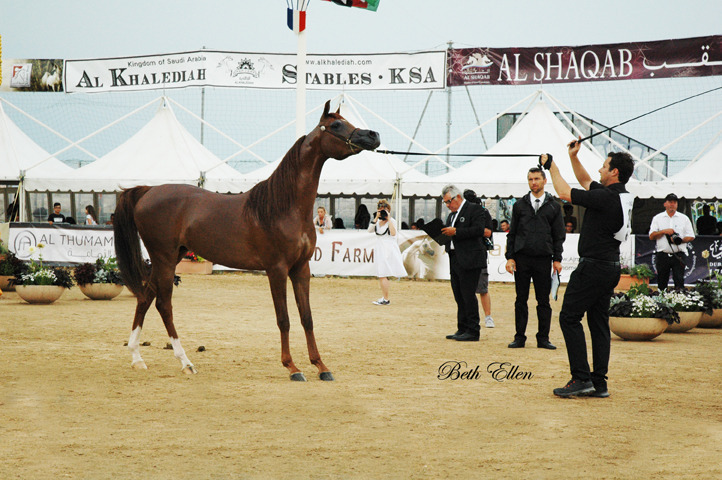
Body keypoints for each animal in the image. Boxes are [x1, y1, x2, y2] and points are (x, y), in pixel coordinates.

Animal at [113, 101, 380, 381]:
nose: (373, 135)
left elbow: (307, 317)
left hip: (171, 257)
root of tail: (148, 191)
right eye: (336, 125)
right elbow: (284, 318)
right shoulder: (277, 269)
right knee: (163, 305)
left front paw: (321, 366)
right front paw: (292, 367)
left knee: (145, 297)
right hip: (164, 258)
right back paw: (185, 362)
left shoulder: (301, 269)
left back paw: (137, 358)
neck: (284, 207)